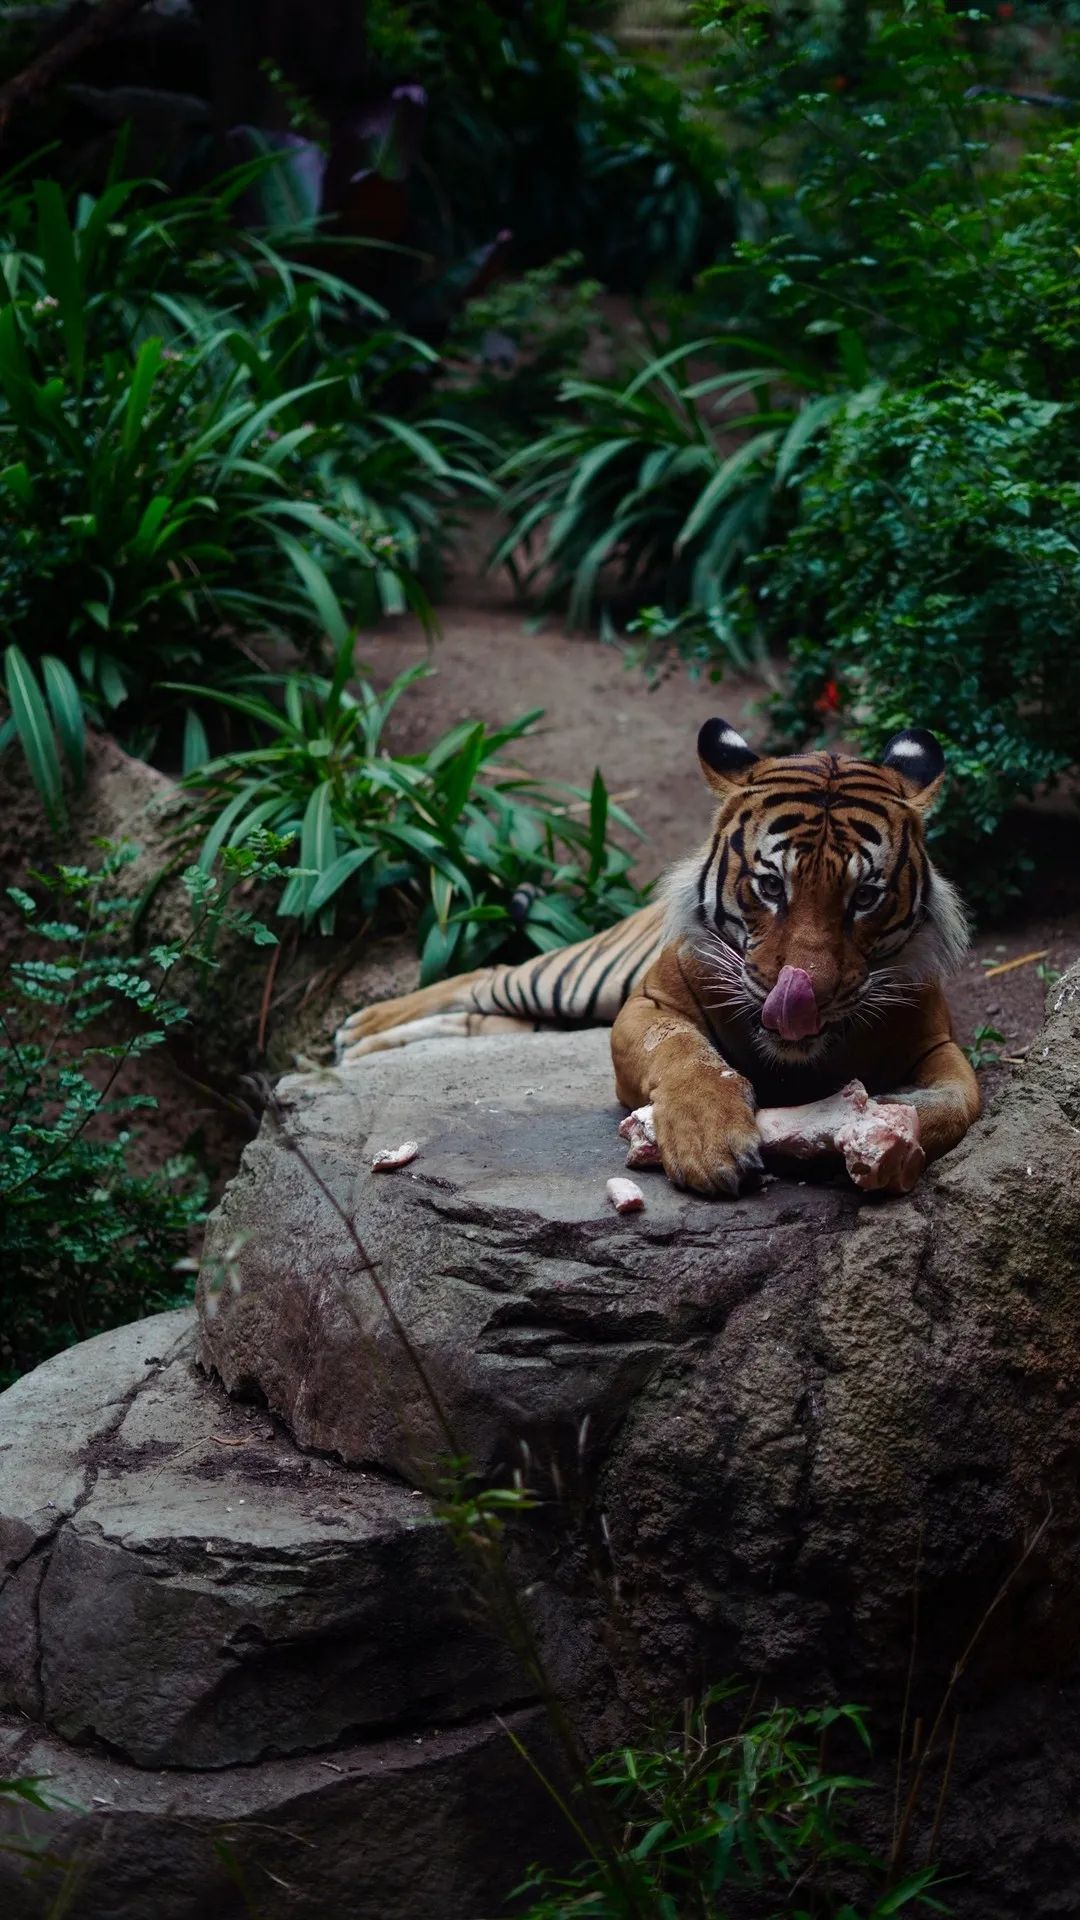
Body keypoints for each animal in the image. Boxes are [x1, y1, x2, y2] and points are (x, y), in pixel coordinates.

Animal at [335, 717, 981, 1196]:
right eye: (772, 886)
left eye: (865, 896)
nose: (804, 999)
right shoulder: (646, 1004)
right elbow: (683, 1053)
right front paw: (709, 1143)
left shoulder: (937, 1043)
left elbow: (959, 1103)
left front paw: (874, 1130)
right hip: (580, 979)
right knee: (488, 975)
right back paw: (358, 1031)